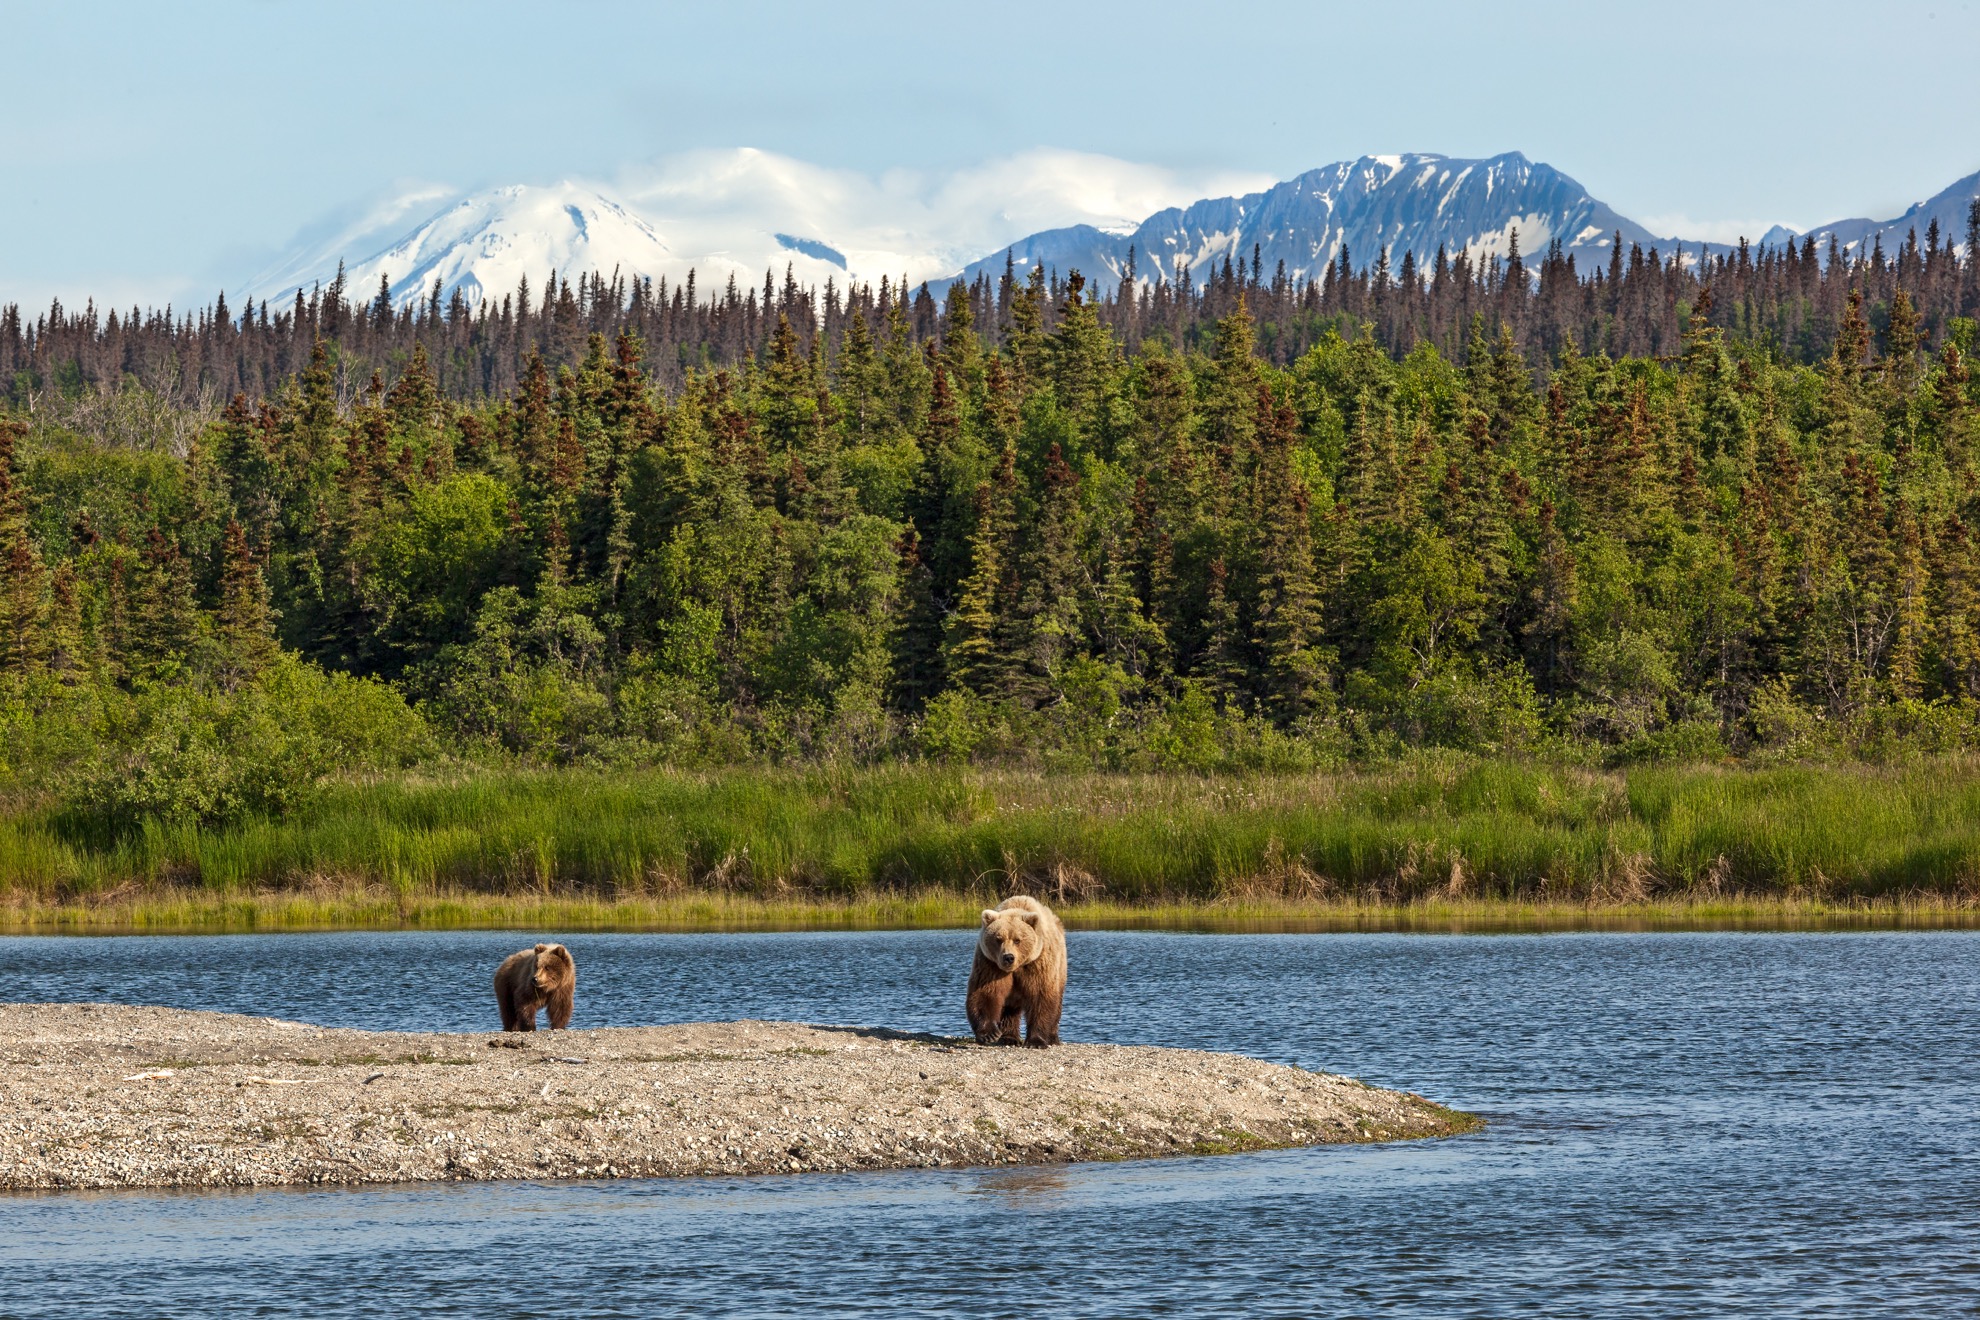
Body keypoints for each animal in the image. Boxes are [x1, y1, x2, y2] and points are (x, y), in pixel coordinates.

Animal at [962, 894, 1061, 1044]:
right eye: (998, 939)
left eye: (1017, 940)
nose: (1008, 957)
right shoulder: (990, 963)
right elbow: (985, 992)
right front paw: (989, 1034)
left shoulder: (1038, 963)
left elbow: (1040, 995)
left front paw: (1036, 1041)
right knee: (1010, 1008)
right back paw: (1009, 1038)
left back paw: (1053, 1037)